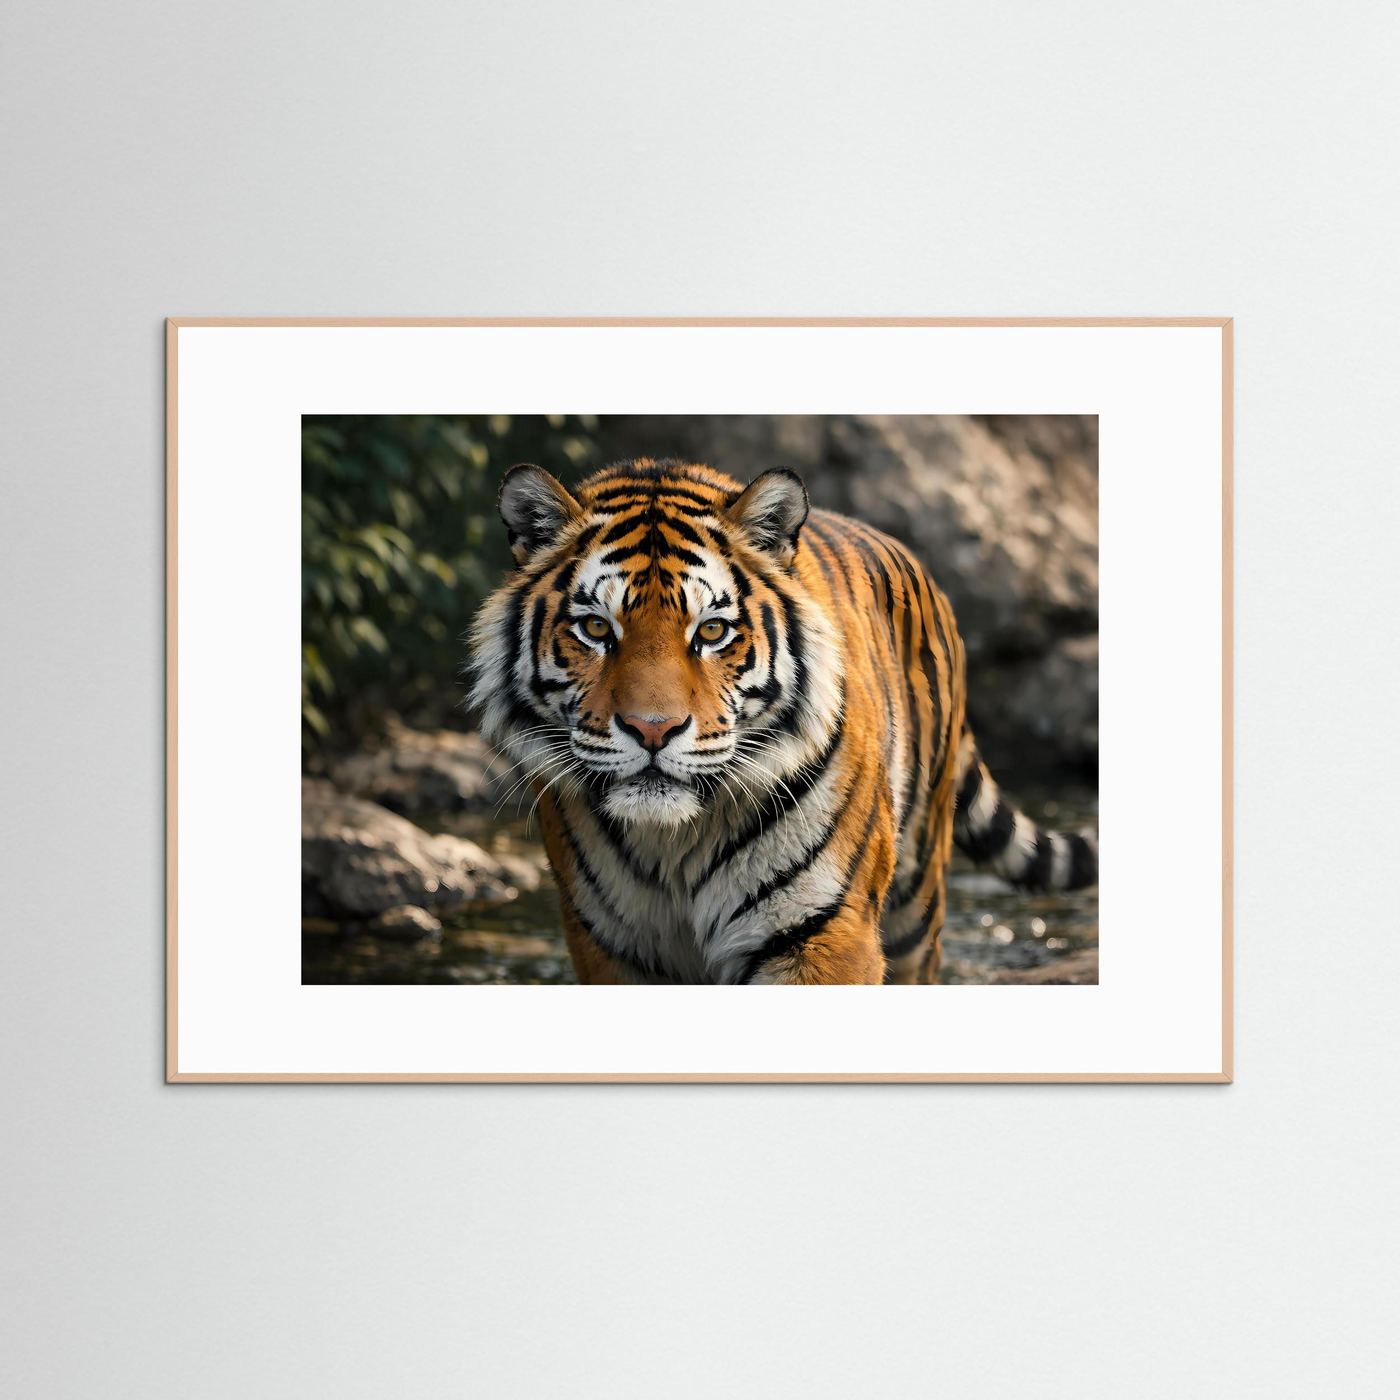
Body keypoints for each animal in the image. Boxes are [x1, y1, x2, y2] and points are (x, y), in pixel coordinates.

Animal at [467, 457, 1097, 984]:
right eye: (597, 628)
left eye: (711, 631)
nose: (652, 730)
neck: (673, 843)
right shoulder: (608, 943)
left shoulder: (822, 931)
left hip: (918, 904)